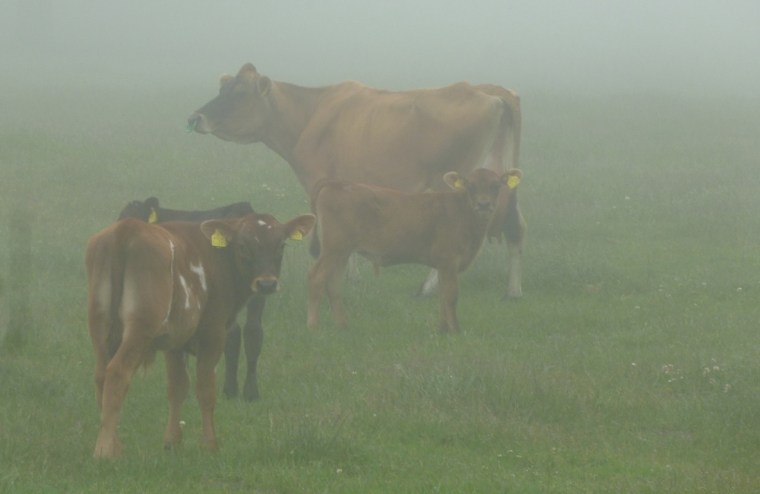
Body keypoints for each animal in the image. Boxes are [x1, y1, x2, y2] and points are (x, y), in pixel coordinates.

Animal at [187, 63, 525, 299]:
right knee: (515, 225)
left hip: (456, 180)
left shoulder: (319, 182)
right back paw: (513, 291)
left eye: (239, 94)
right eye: (222, 89)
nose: (194, 118)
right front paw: (351, 277)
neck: (308, 114)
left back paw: (428, 288)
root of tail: (491, 91)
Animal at [307, 168, 522, 333]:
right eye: (471, 186)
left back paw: (342, 326)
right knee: (317, 279)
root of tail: (336, 183)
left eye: (496, 186)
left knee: (333, 285)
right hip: (333, 250)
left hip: (342, 253)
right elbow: (451, 295)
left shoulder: (442, 265)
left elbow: (442, 295)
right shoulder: (449, 261)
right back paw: (314, 326)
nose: (483, 204)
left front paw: (443, 328)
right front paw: (455, 330)